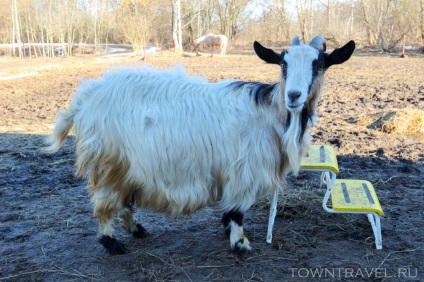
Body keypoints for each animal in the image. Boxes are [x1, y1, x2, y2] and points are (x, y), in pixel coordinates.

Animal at [45, 35, 354, 256]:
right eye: (283, 64)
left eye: (319, 64)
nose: (294, 95)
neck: (271, 112)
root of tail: (84, 98)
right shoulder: (243, 171)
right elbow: (236, 211)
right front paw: (239, 244)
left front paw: (228, 232)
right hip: (109, 161)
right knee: (106, 201)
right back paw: (112, 243)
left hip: (128, 166)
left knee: (122, 201)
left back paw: (136, 229)